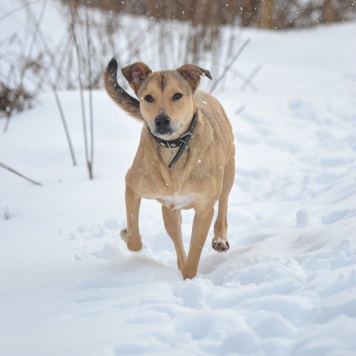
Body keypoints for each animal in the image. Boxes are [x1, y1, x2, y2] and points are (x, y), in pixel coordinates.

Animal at [104, 57, 235, 278]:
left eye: (177, 95)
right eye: (148, 97)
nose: (162, 120)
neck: (174, 147)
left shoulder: (204, 209)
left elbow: (194, 256)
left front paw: (190, 279)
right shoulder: (133, 185)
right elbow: (134, 239)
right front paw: (127, 233)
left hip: (228, 171)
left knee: (223, 203)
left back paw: (220, 240)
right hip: (170, 211)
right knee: (176, 237)